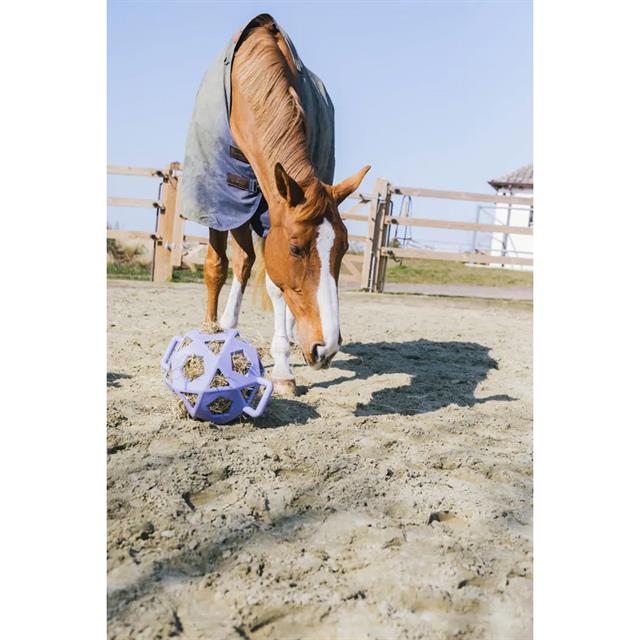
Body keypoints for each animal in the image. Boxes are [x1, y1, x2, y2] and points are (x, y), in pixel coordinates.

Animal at [183, 14, 369, 397]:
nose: (327, 347)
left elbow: (275, 286)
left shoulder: (272, 215)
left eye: (344, 250)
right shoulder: (219, 205)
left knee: (247, 264)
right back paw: (223, 328)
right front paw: (209, 338)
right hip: (238, 213)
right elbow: (215, 267)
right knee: (236, 263)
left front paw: (283, 369)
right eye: (297, 249)